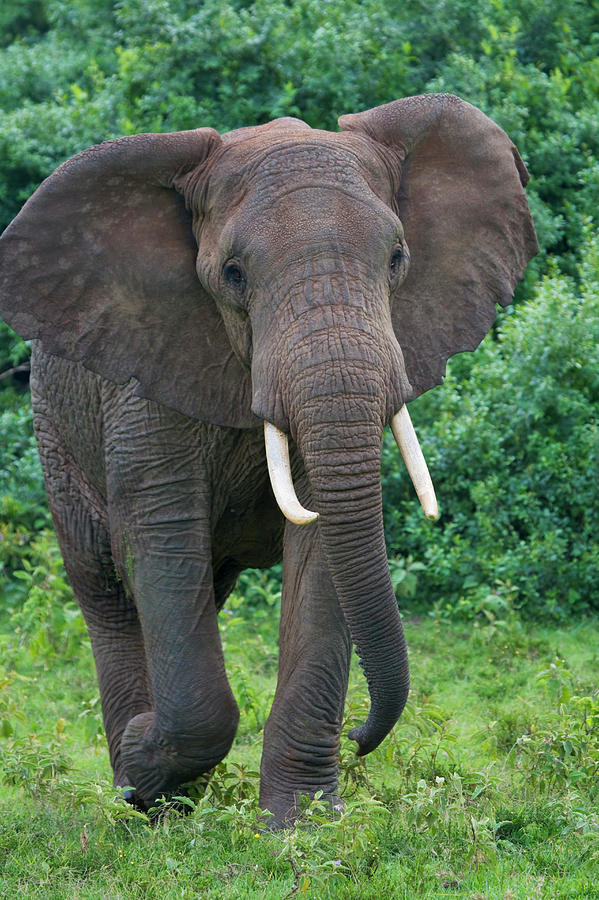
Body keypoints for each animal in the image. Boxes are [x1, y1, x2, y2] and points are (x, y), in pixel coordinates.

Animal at [0, 95, 536, 828]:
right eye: (233, 275)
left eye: (397, 258)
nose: (361, 736)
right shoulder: (145, 376)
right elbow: (161, 542)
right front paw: (145, 766)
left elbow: (323, 555)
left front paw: (301, 826)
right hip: (56, 429)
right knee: (106, 589)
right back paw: (142, 798)